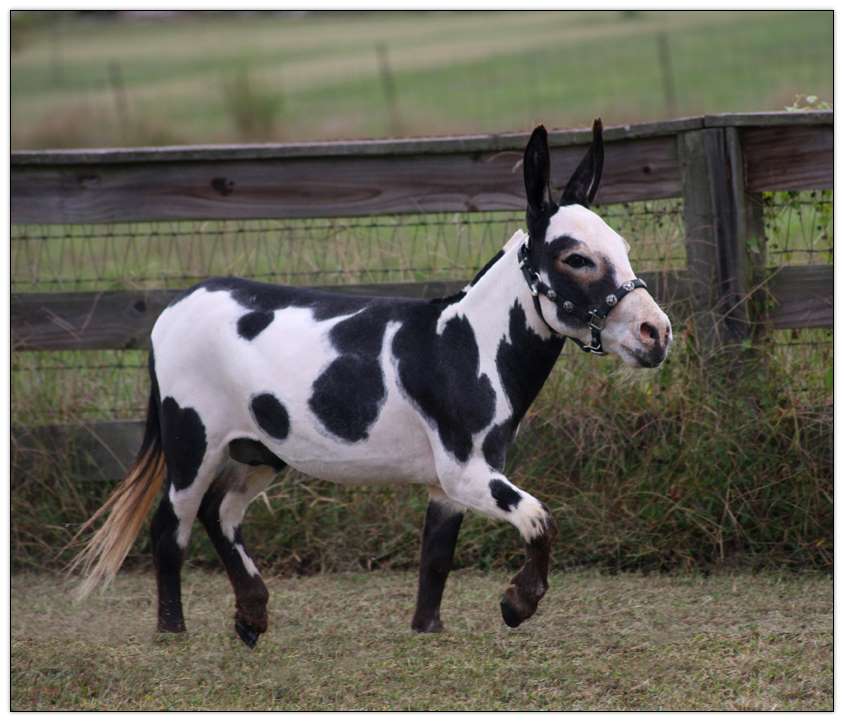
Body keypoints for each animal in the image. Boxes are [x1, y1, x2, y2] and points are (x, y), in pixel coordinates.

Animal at [71, 119, 672, 648]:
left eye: (622, 248)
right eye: (577, 259)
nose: (658, 332)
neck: (465, 346)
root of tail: (178, 302)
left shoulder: (449, 486)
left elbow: (436, 557)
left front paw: (427, 631)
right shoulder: (467, 473)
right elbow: (541, 519)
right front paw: (517, 604)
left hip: (260, 451)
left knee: (220, 515)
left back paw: (252, 615)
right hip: (192, 444)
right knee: (170, 527)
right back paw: (171, 631)